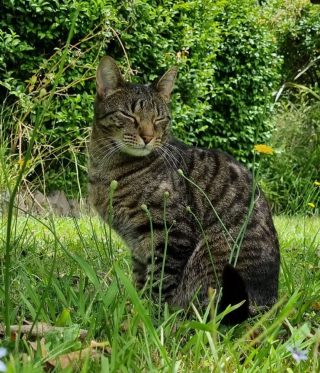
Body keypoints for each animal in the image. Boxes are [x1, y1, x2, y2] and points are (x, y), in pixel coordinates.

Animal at [88, 56, 280, 322]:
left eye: (159, 119)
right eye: (129, 115)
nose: (147, 137)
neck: (108, 167)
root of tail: (268, 303)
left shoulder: (171, 233)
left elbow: (160, 282)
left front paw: (151, 317)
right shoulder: (138, 245)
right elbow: (140, 281)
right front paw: (135, 308)